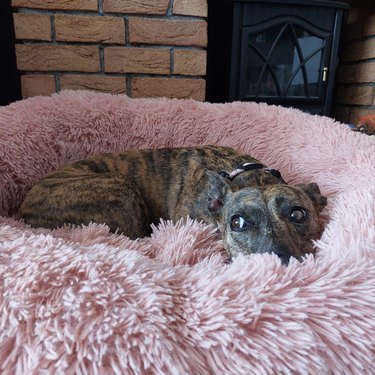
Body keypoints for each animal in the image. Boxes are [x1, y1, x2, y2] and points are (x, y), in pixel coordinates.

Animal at [19, 145, 328, 262]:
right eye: (237, 222)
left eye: (298, 214)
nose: (281, 263)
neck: (249, 177)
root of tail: (23, 208)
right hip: (120, 188)